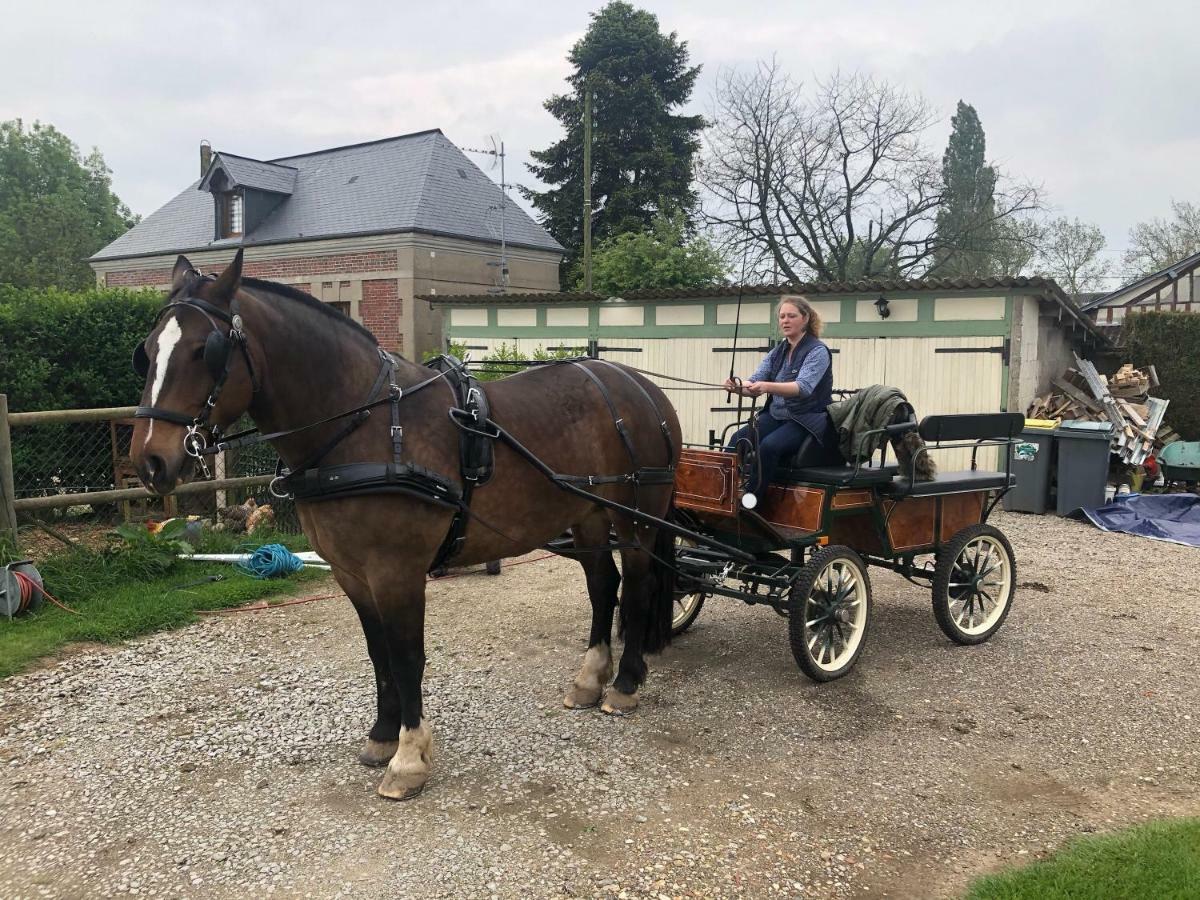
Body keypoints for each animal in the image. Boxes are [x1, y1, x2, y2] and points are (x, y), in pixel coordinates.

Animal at [132, 248, 686, 801]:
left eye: (206, 351)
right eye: (148, 351)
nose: (150, 461)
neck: (365, 425)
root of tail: (641, 386)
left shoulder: (396, 571)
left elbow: (406, 656)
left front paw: (409, 757)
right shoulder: (351, 573)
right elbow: (379, 655)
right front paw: (381, 737)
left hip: (635, 518)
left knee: (635, 586)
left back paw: (625, 685)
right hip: (588, 516)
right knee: (603, 586)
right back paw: (591, 679)